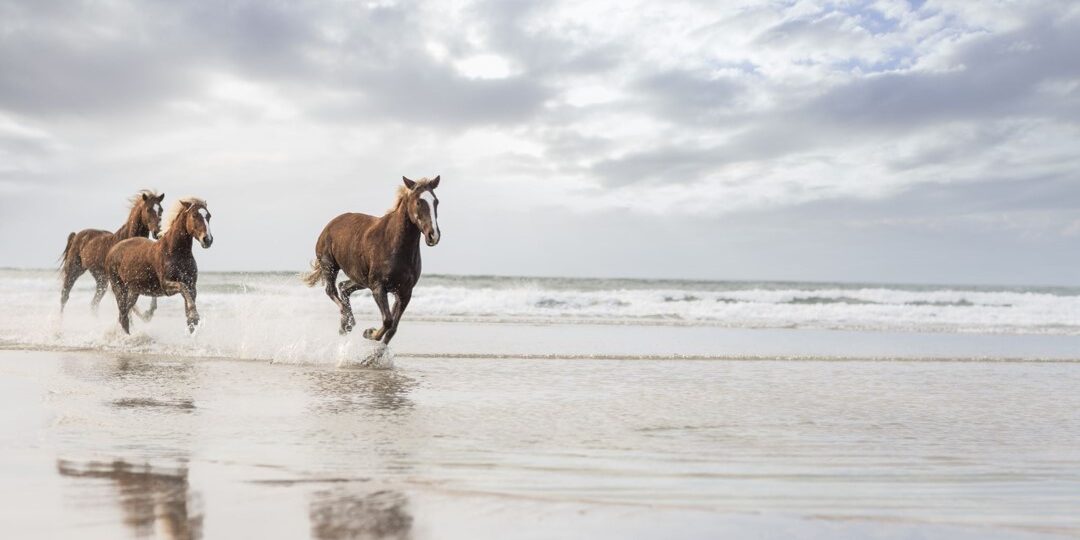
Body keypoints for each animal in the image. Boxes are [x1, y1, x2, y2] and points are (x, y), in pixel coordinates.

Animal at [105, 198, 214, 334]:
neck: (174, 251)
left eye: (208, 216)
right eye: (194, 215)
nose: (207, 240)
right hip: (119, 288)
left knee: (123, 314)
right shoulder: (166, 285)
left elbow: (190, 319)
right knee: (123, 315)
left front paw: (193, 322)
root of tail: (112, 250)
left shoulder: (192, 286)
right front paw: (194, 314)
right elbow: (182, 288)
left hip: (134, 291)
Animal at [302, 176, 441, 344]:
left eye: (436, 201)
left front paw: (377, 348)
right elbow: (387, 321)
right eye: (419, 202)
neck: (394, 244)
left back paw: (346, 324)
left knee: (344, 287)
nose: (433, 235)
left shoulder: (405, 292)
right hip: (330, 266)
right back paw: (347, 321)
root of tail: (330, 225)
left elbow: (392, 328)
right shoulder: (378, 287)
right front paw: (369, 333)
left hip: (361, 279)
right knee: (331, 290)